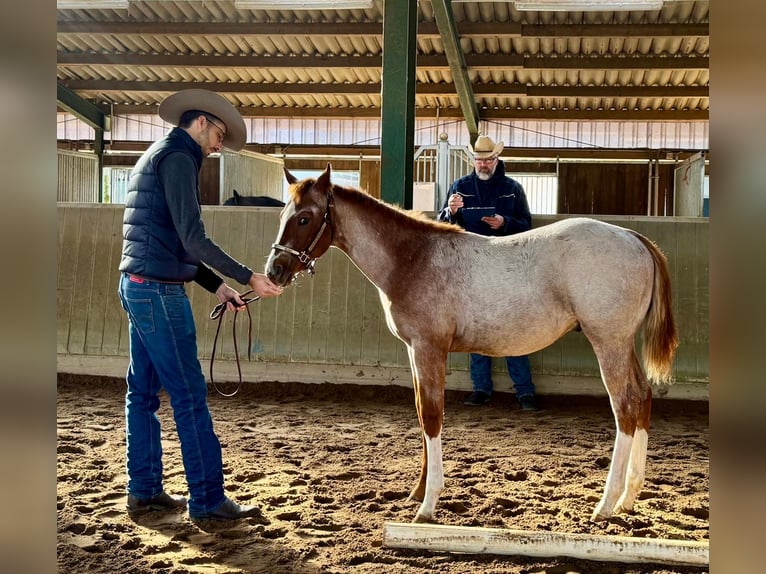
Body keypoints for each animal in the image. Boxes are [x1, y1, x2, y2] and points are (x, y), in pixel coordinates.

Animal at [265, 164, 679, 524]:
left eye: (305, 218)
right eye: (283, 213)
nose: (274, 271)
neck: (412, 258)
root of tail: (635, 239)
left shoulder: (429, 349)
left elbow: (432, 416)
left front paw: (428, 505)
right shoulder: (415, 352)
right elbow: (421, 414)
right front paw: (418, 491)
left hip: (608, 343)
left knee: (625, 406)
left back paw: (606, 504)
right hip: (624, 345)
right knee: (643, 397)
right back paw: (629, 497)